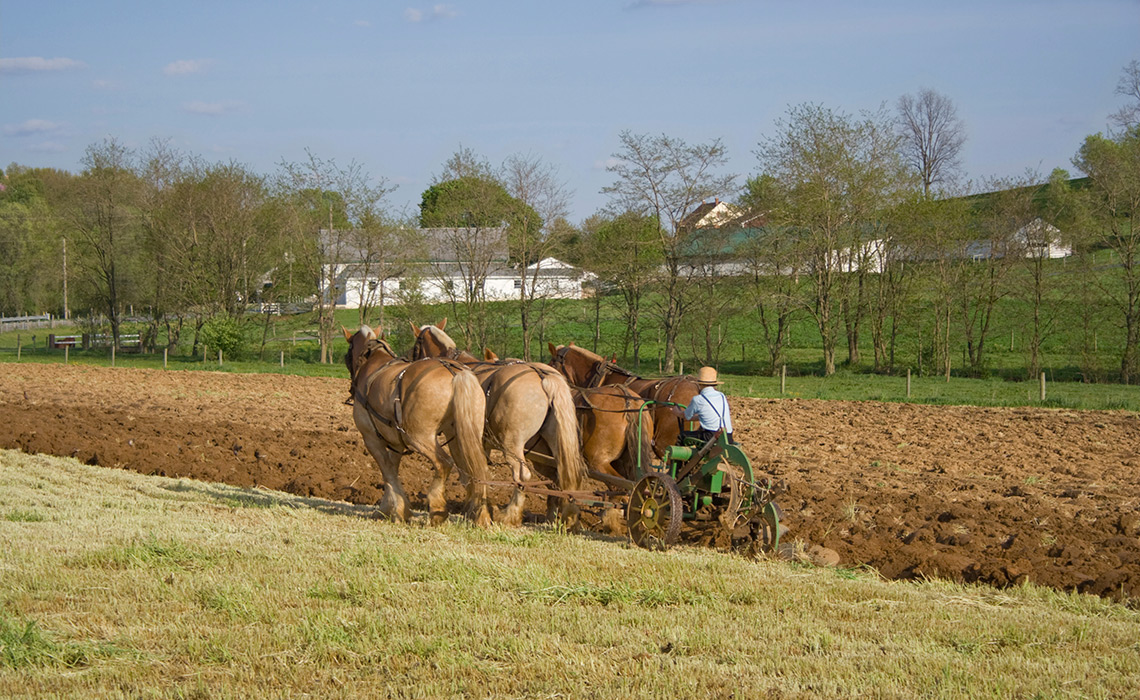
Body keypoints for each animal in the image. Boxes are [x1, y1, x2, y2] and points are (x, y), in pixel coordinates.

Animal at [342, 326, 494, 528]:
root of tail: (456, 373)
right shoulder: (396, 443)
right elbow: (392, 471)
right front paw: (389, 509)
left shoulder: (371, 438)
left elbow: (387, 473)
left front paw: (398, 510)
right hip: (464, 435)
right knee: (478, 469)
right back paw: (480, 516)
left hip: (418, 437)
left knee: (444, 463)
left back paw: (438, 510)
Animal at [412, 319, 588, 526]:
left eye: (416, 346)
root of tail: (544, 376)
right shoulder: (481, 442)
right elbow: (480, 472)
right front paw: (477, 505)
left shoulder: (457, 437)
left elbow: (468, 472)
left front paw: (472, 507)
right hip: (552, 442)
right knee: (563, 475)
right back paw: (561, 517)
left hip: (512, 443)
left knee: (522, 475)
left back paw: (511, 515)